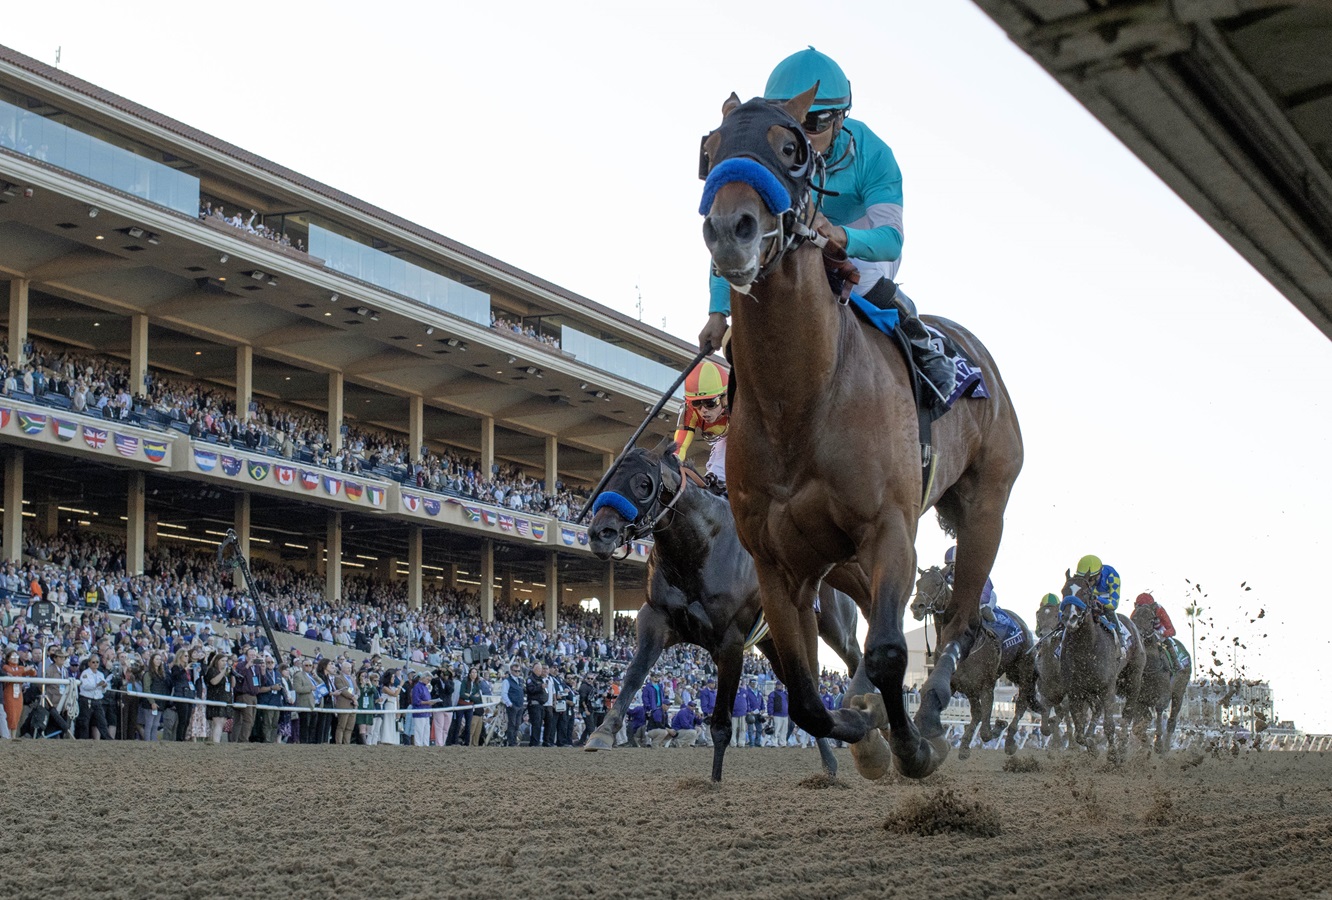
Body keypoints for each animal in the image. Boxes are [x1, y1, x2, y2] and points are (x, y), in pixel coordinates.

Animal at [586, 442, 863, 782]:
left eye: (642, 483)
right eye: (607, 478)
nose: (600, 533)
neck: (699, 548)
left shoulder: (730, 639)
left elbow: (721, 722)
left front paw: (714, 782)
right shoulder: (656, 618)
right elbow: (634, 674)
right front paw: (603, 732)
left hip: (838, 628)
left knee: (857, 661)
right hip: (774, 642)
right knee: (803, 691)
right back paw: (830, 764)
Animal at [697, 84, 1017, 777]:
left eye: (791, 148)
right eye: (709, 150)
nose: (730, 229)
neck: (803, 399)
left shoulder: (891, 529)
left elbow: (892, 652)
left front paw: (912, 746)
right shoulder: (777, 564)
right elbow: (804, 697)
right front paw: (863, 731)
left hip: (986, 507)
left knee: (959, 617)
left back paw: (933, 713)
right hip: (836, 561)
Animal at [911, 567, 1044, 756]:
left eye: (937, 583)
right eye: (918, 583)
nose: (917, 607)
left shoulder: (986, 684)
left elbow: (986, 732)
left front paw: (999, 724)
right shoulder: (956, 683)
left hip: (1024, 669)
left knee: (1021, 702)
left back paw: (1010, 741)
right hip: (1001, 677)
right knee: (978, 712)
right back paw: (965, 746)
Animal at [1129, 604, 1193, 750]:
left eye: (1151, 619)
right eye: (1134, 616)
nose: (1138, 633)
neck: (1150, 666)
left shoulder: (1164, 694)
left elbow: (1159, 709)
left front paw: (1157, 742)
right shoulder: (1140, 699)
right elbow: (1139, 724)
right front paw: (1145, 744)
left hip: (1179, 691)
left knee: (1171, 721)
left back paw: (1166, 748)